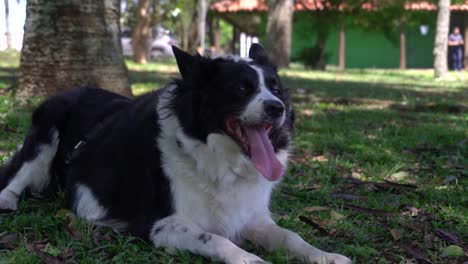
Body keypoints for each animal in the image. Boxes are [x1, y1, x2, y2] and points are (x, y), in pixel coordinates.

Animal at [0, 44, 352, 262]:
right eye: (240, 89)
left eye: (276, 89)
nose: (277, 108)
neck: (217, 160)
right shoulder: (159, 224)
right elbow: (216, 239)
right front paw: (252, 259)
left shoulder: (251, 215)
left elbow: (291, 236)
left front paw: (325, 255)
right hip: (47, 130)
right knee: (17, 174)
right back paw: (8, 200)